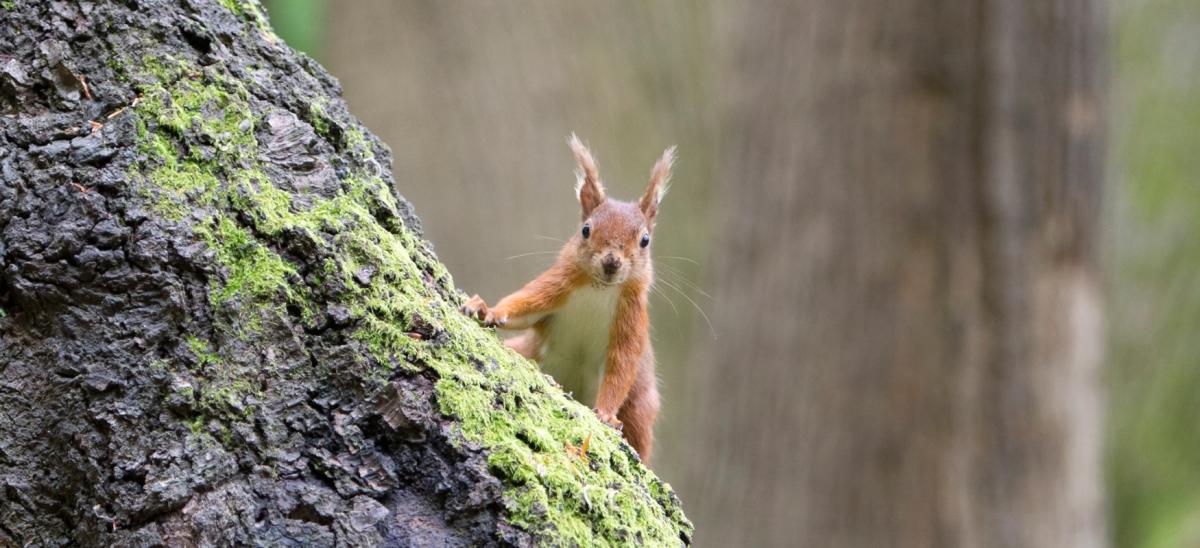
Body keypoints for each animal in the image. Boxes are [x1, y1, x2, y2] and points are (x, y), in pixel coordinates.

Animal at [460, 133, 676, 460]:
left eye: (645, 240)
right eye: (586, 230)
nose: (611, 262)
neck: (600, 289)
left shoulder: (631, 319)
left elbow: (621, 367)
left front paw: (605, 413)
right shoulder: (555, 288)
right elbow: (523, 306)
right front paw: (487, 310)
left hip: (640, 409)